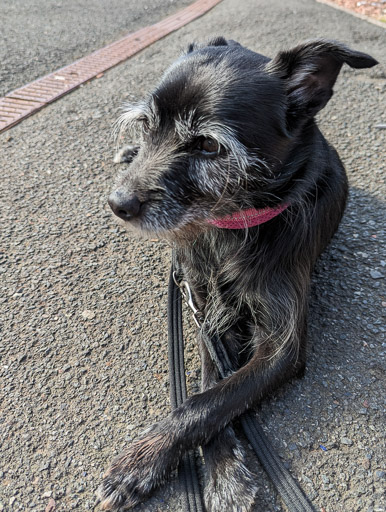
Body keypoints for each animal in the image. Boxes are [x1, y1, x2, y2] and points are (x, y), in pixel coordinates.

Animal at [97, 37, 376, 512]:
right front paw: (223, 468)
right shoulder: (205, 305)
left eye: (208, 146)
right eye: (148, 125)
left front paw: (144, 462)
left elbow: (210, 402)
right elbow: (211, 381)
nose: (119, 203)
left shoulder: (282, 346)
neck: (232, 225)